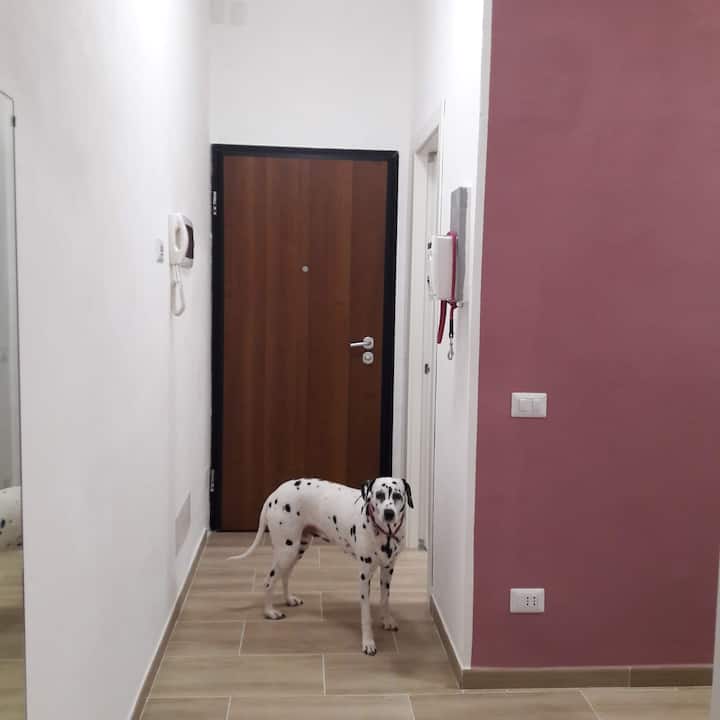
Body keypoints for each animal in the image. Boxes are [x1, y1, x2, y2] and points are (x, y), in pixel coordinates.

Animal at [228, 476, 413, 655]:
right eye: (379, 495)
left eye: (398, 495)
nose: (389, 513)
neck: (385, 534)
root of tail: (275, 493)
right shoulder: (364, 576)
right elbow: (366, 616)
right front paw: (368, 643)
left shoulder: (388, 570)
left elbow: (385, 599)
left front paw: (387, 620)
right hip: (286, 551)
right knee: (268, 581)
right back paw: (269, 612)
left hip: (297, 549)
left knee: (285, 576)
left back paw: (289, 600)